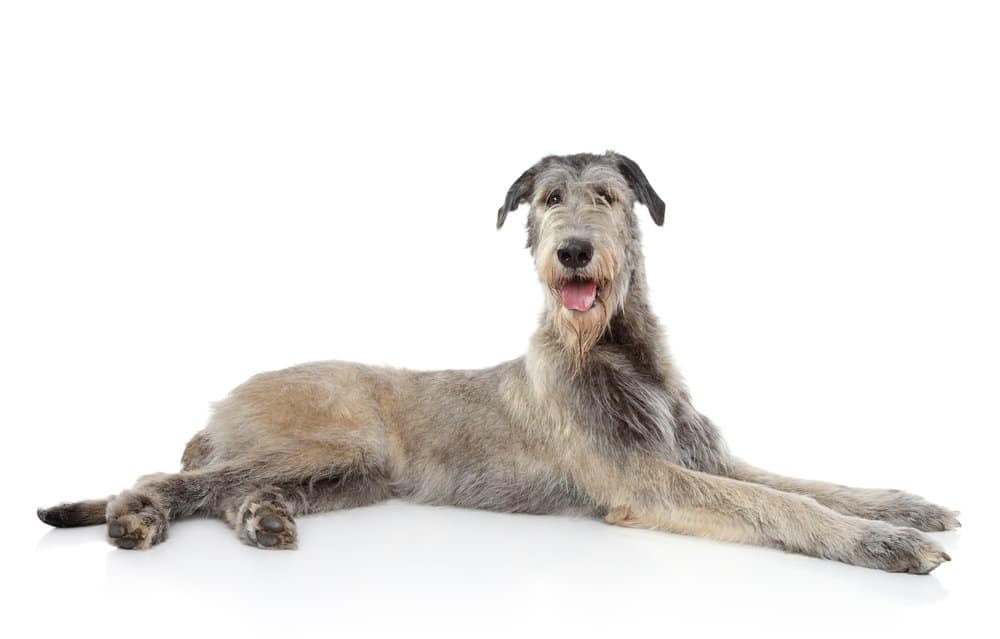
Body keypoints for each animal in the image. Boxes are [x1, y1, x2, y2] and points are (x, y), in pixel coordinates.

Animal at [37, 152, 960, 572]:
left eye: (608, 197)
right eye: (549, 199)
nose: (575, 252)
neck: (619, 352)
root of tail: (221, 401)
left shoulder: (703, 454)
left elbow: (802, 481)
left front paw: (904, 506)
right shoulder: (643, 478)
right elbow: (782, 503)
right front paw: (884, 542)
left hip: (352, 471)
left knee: (229, 490)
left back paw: (261, 519)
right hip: (327, 439)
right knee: (165, 477)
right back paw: (134, 519)